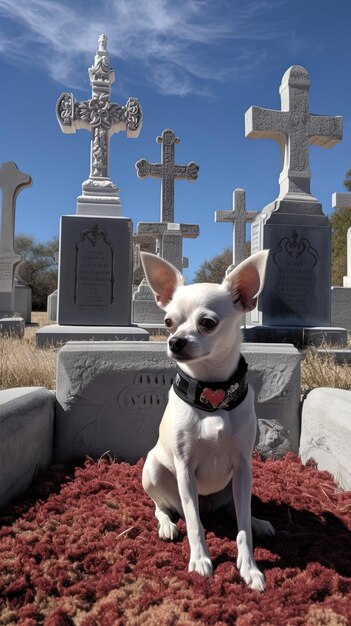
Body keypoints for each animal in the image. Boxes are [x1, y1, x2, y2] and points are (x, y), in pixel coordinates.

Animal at [140, 246, 276, 588]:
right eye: (168, 322)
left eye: (207, 323)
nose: (175, 340)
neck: (213, 392)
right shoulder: (185, 469)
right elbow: (193, 522)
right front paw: (200, 560)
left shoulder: (243, 467)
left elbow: (241, 528)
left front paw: (250, 567)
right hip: (154, 470)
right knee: (163, 507)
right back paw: (167, 525)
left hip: (234, 486)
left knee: (237, 511)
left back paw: (258, 521)